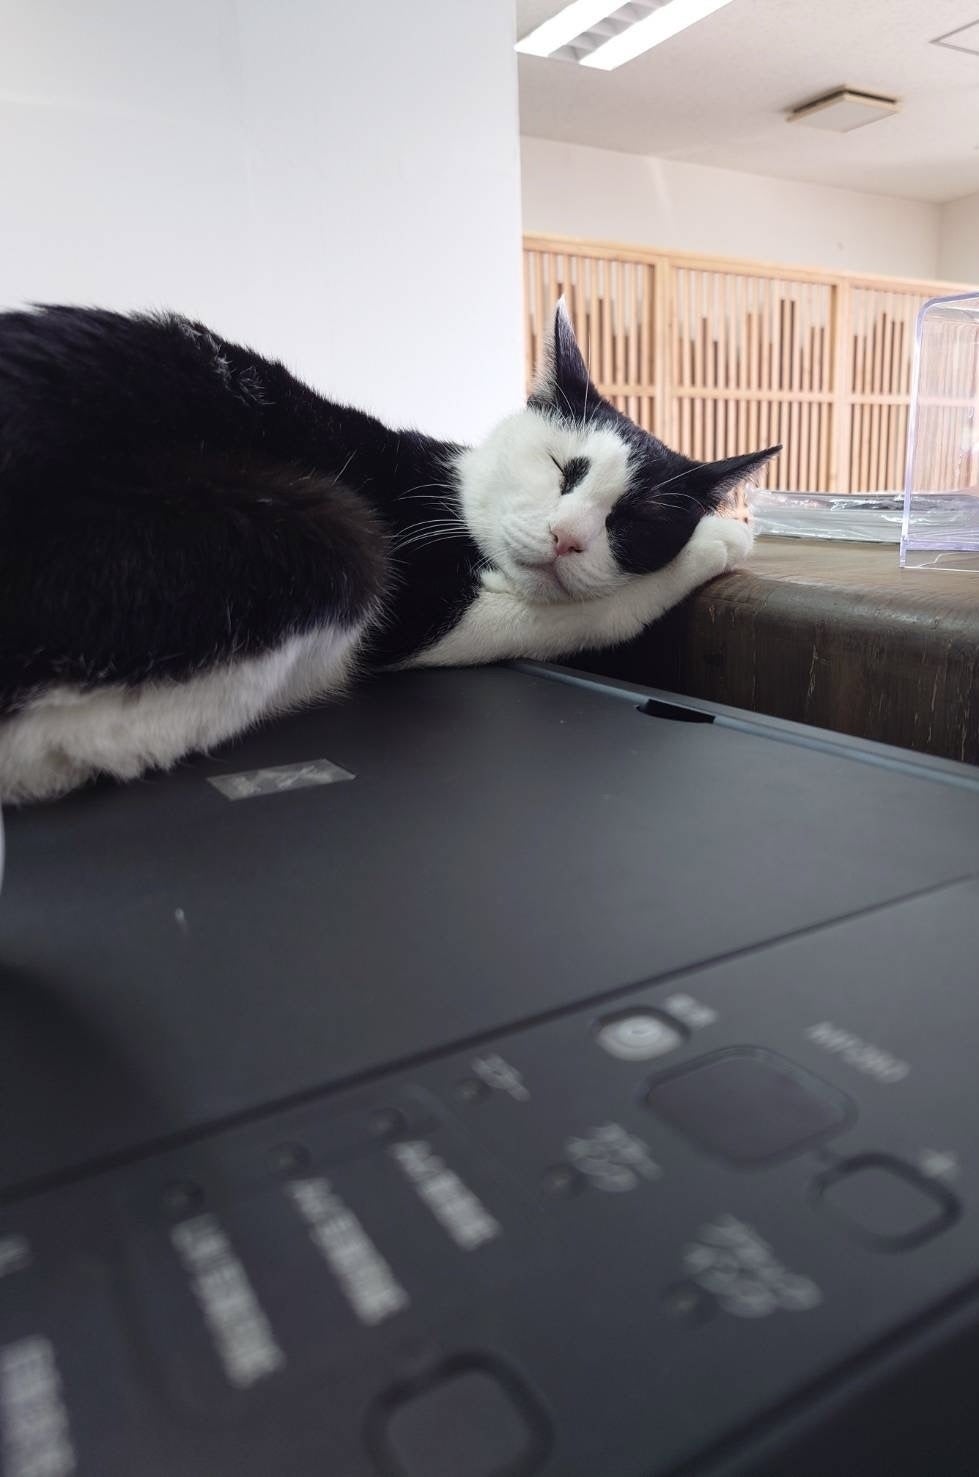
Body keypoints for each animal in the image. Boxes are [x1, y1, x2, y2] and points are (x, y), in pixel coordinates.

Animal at [0, 299, 777, 803]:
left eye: (632, 520)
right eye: (564, 468)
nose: (567, 539)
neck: (449, 487)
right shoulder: (424, 600)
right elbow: (593, 612)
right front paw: (723, 536)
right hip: (332, 529)